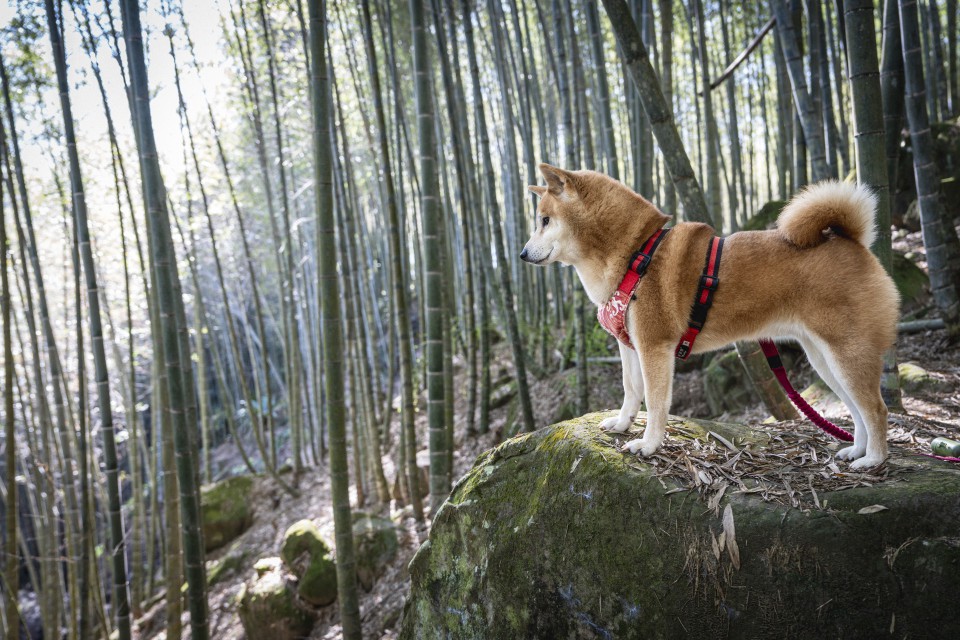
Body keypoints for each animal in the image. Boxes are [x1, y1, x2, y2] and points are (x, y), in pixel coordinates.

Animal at [520, 162, 896, 468]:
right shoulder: (630, 347)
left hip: (847, 353)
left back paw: (873, 460)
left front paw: (648, 445)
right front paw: (623, 424)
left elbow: (655, 403)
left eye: (544, 220)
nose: (522, 254)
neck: (636, 255)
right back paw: (857, 450)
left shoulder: (654, 348)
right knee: (857, 410)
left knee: (876, 409)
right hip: (824, 359)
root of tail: (852, 241)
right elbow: (631, 390)